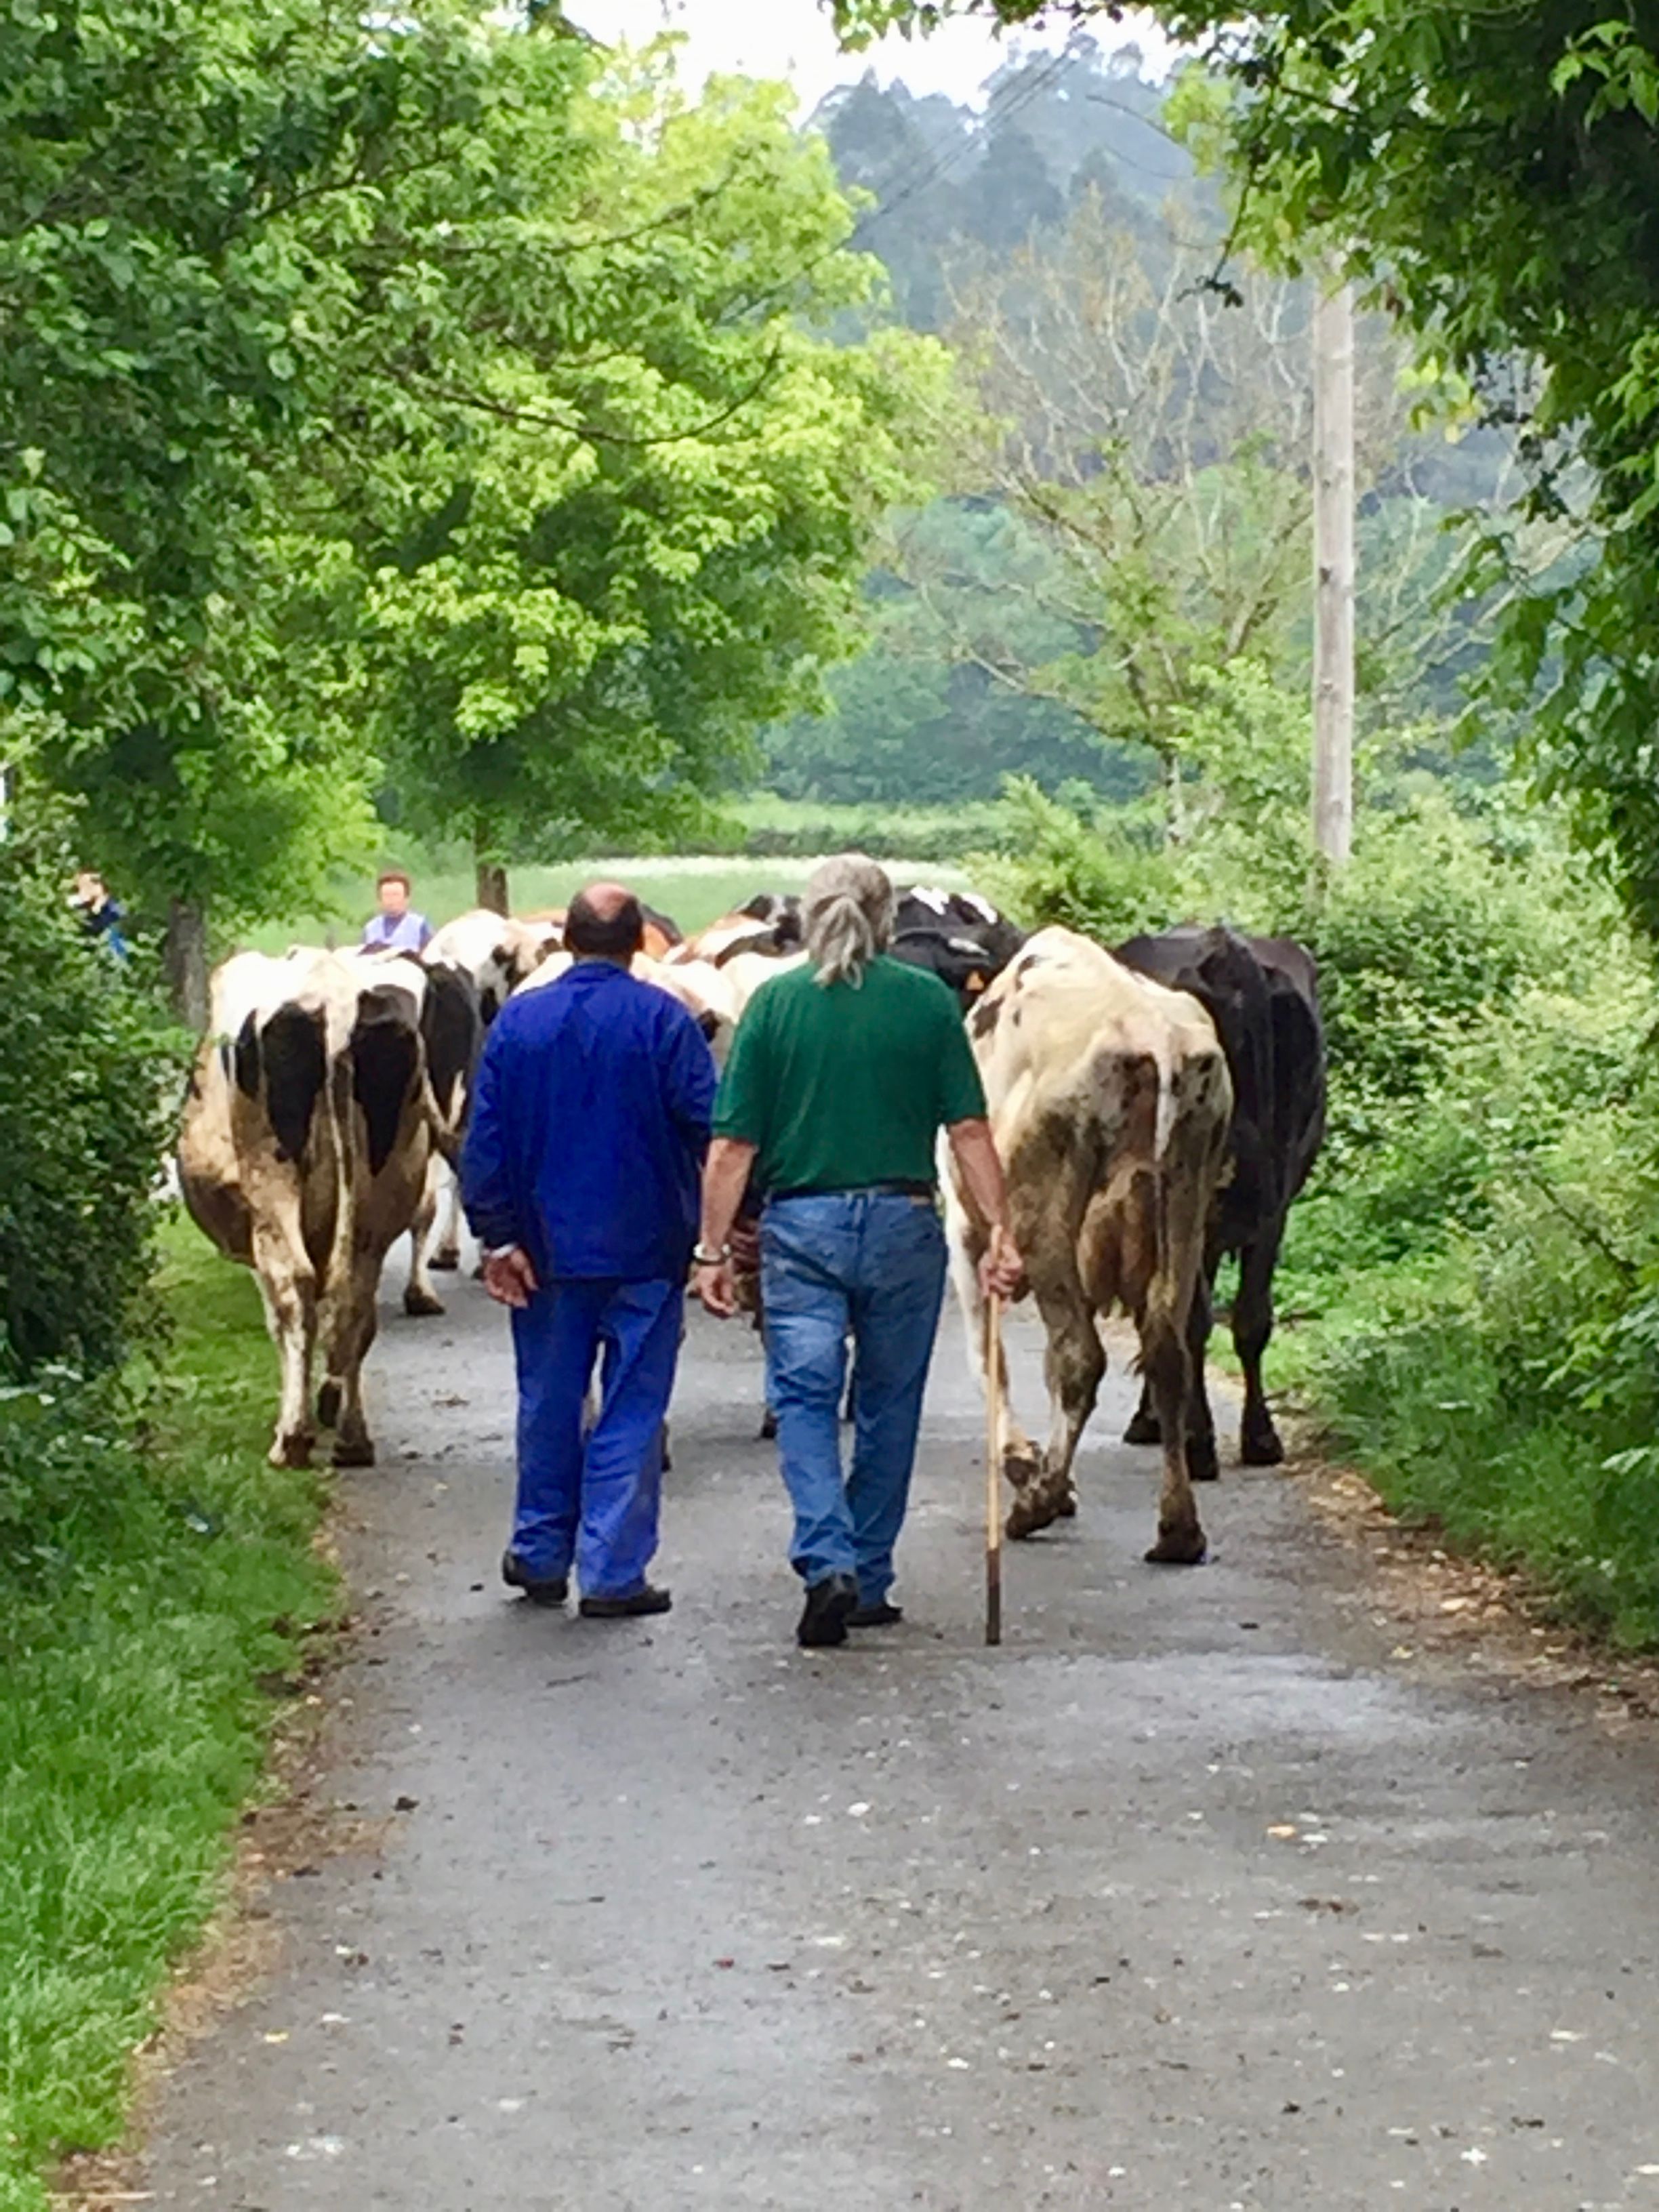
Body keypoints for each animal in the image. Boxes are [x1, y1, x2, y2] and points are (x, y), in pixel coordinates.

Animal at [946, 924, 1238, 1565]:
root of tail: (1153, 1033)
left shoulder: (966, 1229)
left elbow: (987, 1355)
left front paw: (1022, 1461)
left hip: (1046, 1216)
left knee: (1081, 1354)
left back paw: (1040, 1501)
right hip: (1186, 1197)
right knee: (1168, 1350)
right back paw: (1178, 1530)